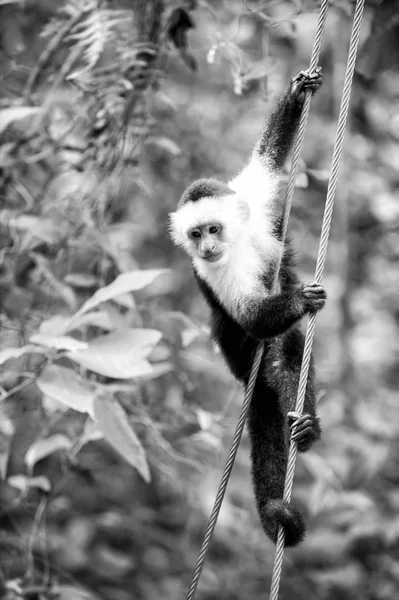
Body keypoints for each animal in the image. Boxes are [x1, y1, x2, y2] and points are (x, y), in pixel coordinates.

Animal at [169, 68, 328, 548]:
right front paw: (298, 299)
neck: (236, 243)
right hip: (238, 356)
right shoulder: (214, 271)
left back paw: (306, 426)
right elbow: (249, 316)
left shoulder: (248, 203)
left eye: (212, 229)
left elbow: (267, 160)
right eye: (195, 234)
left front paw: (296, 96)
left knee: (289, 351)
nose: (206, 247)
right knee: (272, 357)